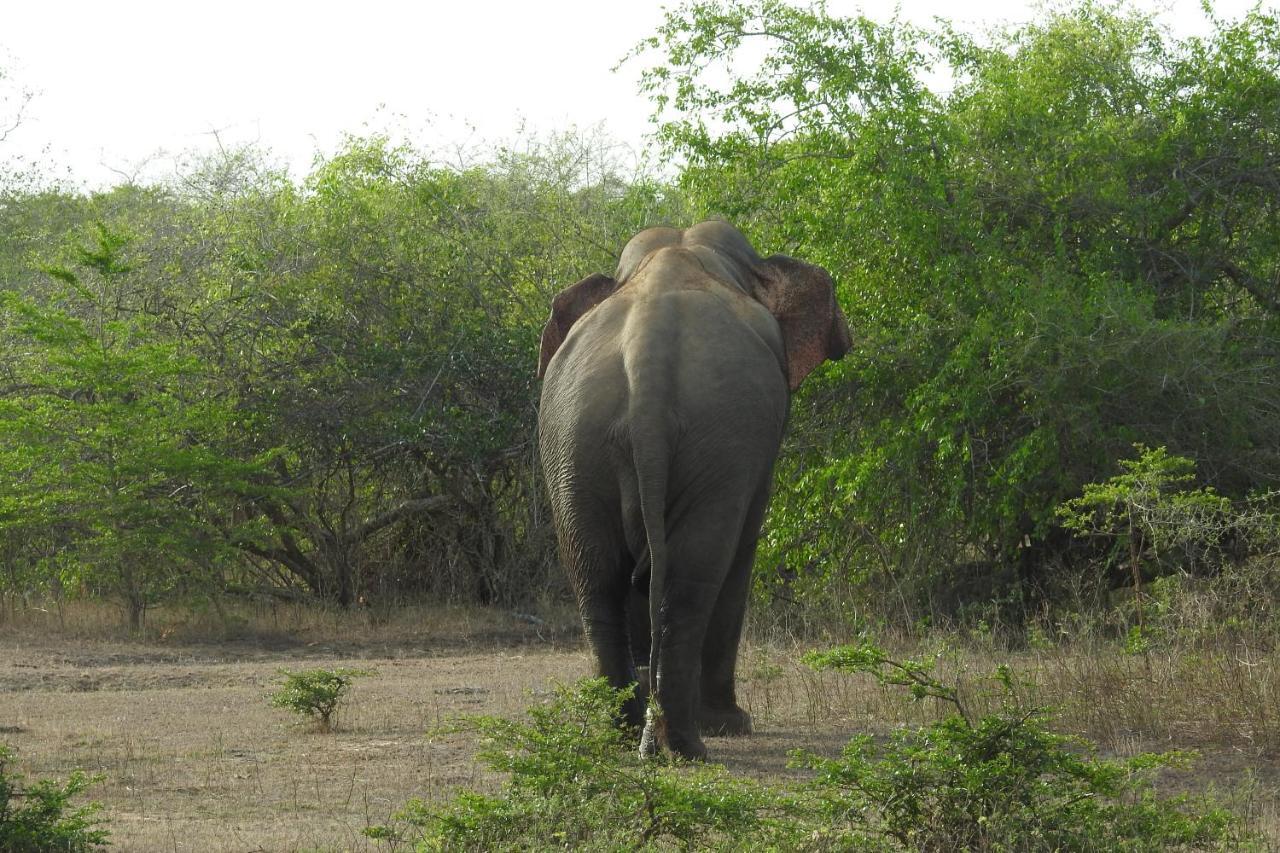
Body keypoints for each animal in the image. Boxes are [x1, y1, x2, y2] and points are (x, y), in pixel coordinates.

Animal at [537, 219, 849, 758]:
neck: (678, 253)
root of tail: (646, 362)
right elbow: (744, 546)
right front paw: (734, 725)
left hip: (573, 440)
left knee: (598, 580)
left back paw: (630, 737)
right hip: (715, 441)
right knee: (695, 578)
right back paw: (690, 745)